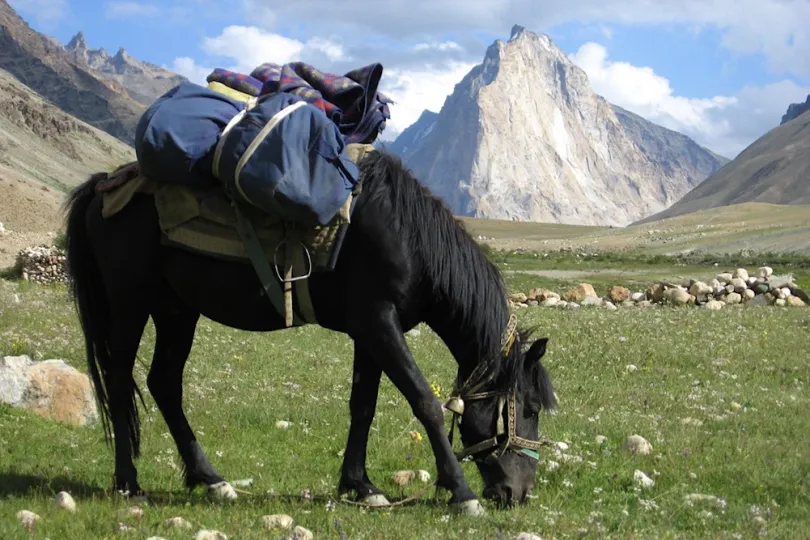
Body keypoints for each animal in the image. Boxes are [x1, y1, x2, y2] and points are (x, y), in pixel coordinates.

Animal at [63, 150, 556, 512]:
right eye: (529, 408)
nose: (518, 493)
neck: (407, 237)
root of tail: (103, 186)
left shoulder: (370, 331)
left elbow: (363, 407)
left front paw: (361, 486)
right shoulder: (378, 323)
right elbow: (424, 403)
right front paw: (461, 492)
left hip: (176, 310)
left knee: (163, 383)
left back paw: (211, 480)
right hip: (129, 303)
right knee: (120, 381)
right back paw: (129, 483)